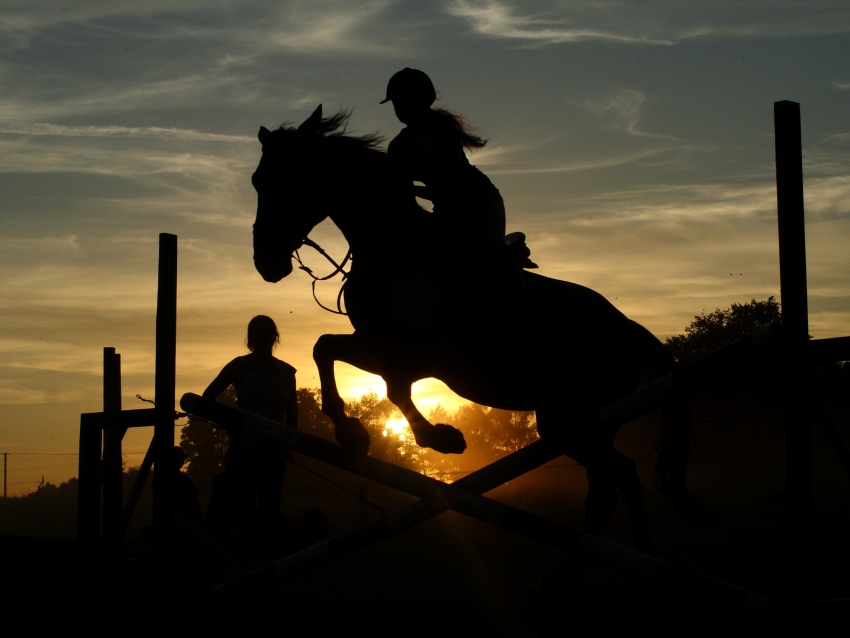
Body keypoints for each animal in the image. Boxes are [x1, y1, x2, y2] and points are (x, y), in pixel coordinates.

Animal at [248, 105, 684, 552]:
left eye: (288, 178)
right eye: (257, 182)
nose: (266, 262)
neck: (395, 247)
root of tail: (628, 328)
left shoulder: (416, 356)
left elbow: (392, 389)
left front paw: (439, 439)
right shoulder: (377, 345)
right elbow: (326, 349)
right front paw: (353, 434)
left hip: (584, 414)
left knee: (614, 482)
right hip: (567, 420)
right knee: (615, 480)